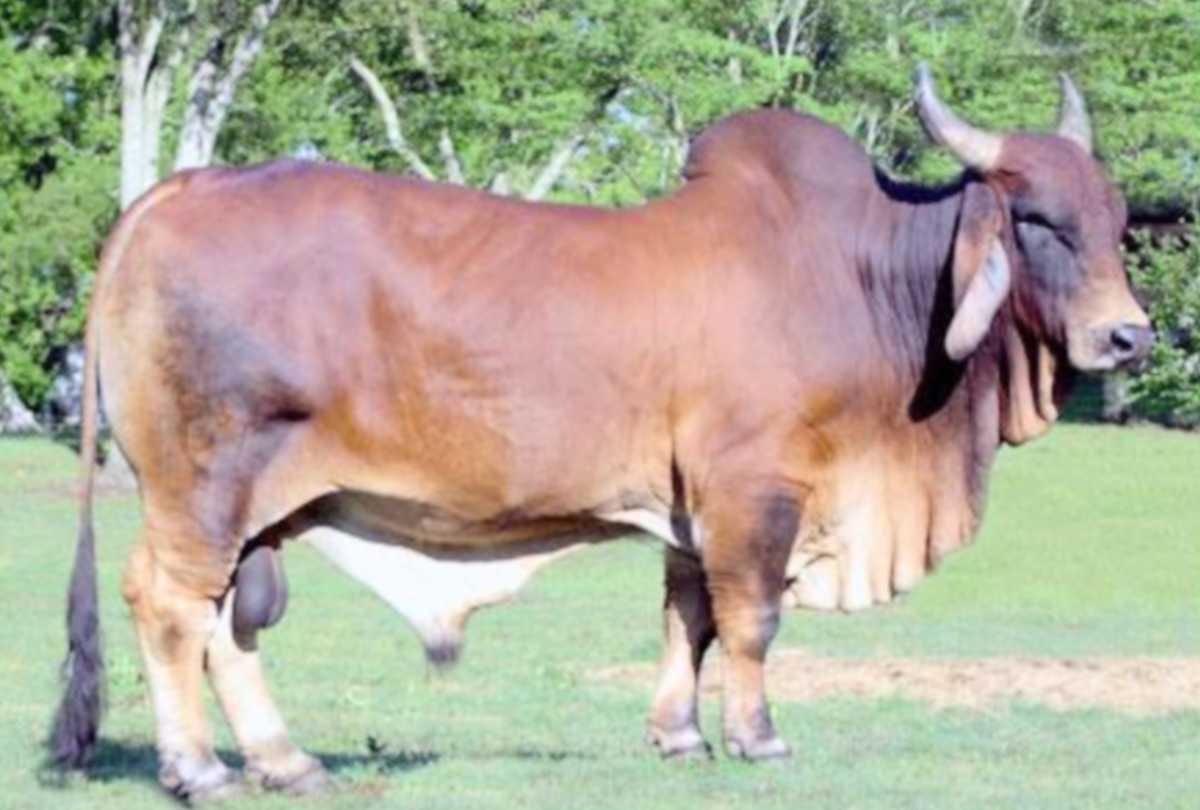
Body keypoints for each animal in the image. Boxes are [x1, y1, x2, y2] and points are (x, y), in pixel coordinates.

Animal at [50, 65, 1152, 800]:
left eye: (1115, 218)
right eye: (1038, 220)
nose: (1129, 334)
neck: (867, 279)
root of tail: (179, 190)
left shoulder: (692, 510)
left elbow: (688, 619)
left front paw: (680, 736)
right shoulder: (755, 492)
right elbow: (751, 621)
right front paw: (758, 738)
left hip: (255, 504)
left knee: (228, 625)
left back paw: (283, 761)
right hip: (203, 486)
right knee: (170, 606)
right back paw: (198, 768)